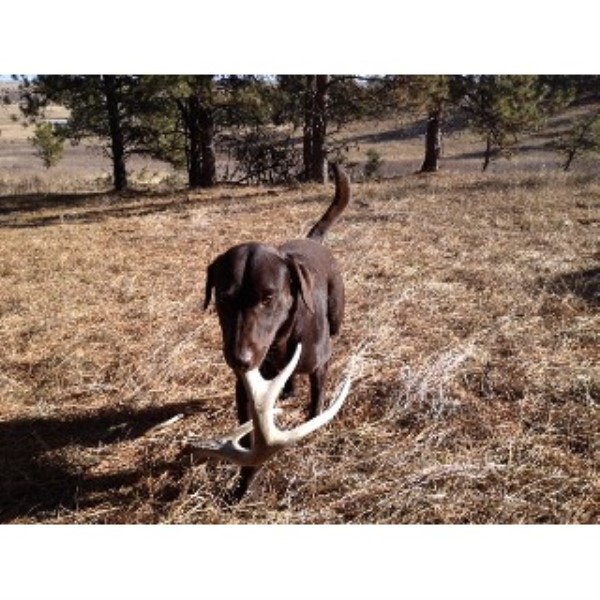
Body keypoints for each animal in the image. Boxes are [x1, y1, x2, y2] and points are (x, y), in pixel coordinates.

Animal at [204, 163, 350, 496]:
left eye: (268, 297)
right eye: (223, 297)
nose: (240, 359)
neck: (282, 341)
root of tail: (313, 240)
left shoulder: (319, 365)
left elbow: (316, 404)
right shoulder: (244, 388)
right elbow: (248, 437)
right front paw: (245, 483)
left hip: (337, 315)